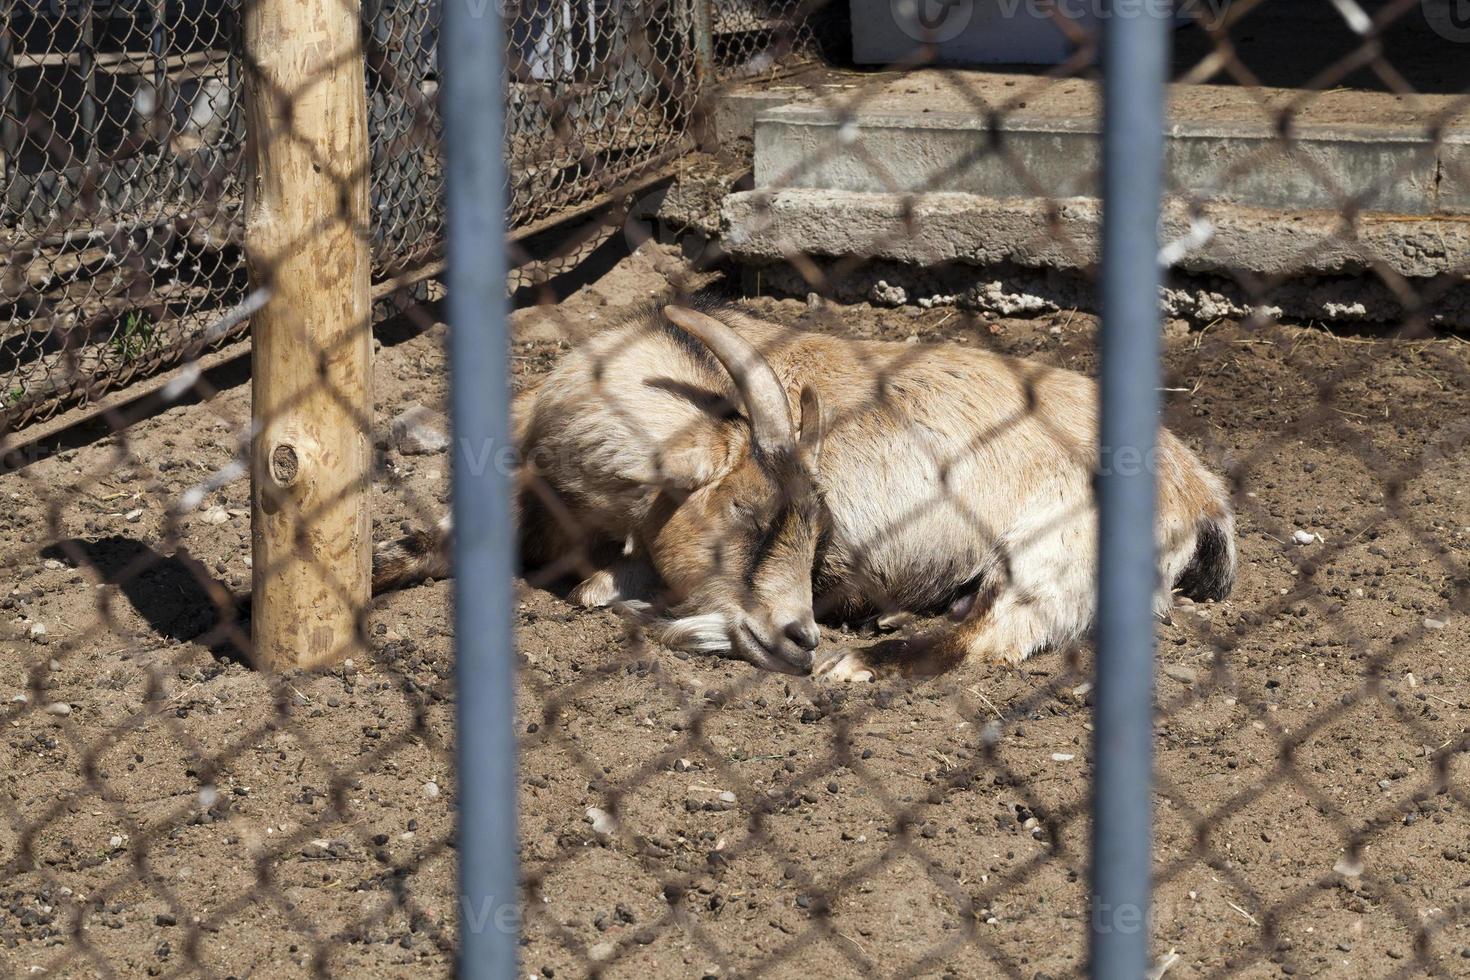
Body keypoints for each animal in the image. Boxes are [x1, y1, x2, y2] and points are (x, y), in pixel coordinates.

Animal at [373, 301, 1234, 681]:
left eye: (816, 531)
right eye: (747, 512)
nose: (800, 633)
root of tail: (1201, 490)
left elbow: (606, 589)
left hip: (1057, 543)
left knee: (1005, 630)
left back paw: (863, 661)